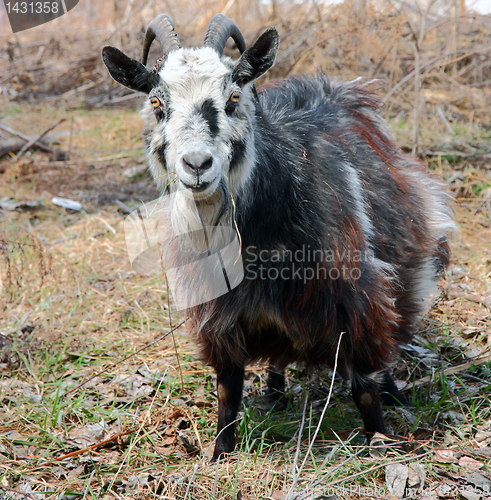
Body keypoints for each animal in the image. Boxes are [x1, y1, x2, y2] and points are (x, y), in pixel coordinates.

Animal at [101, 13, 458, 460]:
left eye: (234, 98)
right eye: (156, 103)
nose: (197, 165)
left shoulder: (354, 298)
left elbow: (363, 386)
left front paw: (380, 439)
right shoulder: (219, 316)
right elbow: (227, 390)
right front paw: (220, 454)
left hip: (406, 267)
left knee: (390, 335)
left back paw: (393, 390)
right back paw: (274, 390)